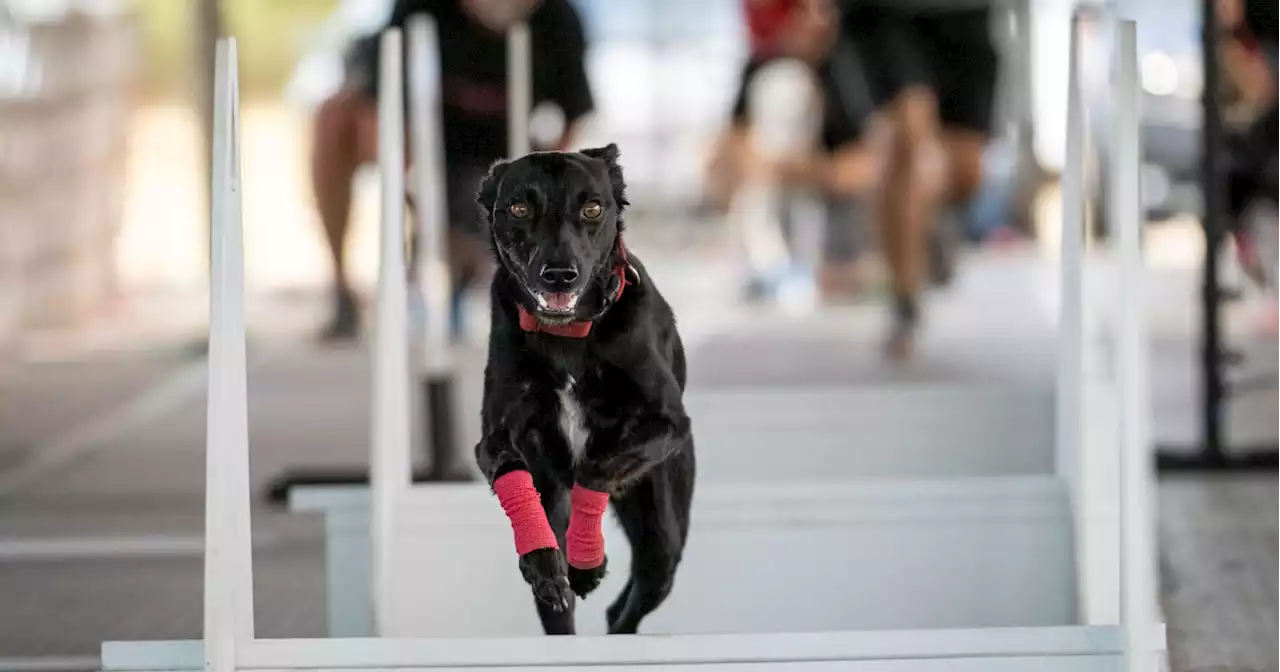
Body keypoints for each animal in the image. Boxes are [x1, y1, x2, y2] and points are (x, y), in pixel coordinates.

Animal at [473, 142, 696, 634]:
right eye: (519, 208)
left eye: (593, 208)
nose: (560, 274)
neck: (568, 336)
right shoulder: (493, 436)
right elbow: (510, 467)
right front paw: (545, 563)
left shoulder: (668, 422)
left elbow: (597, 465)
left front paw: (586, 560)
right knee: (566, 610)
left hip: (663, 534)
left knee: (629, 604)